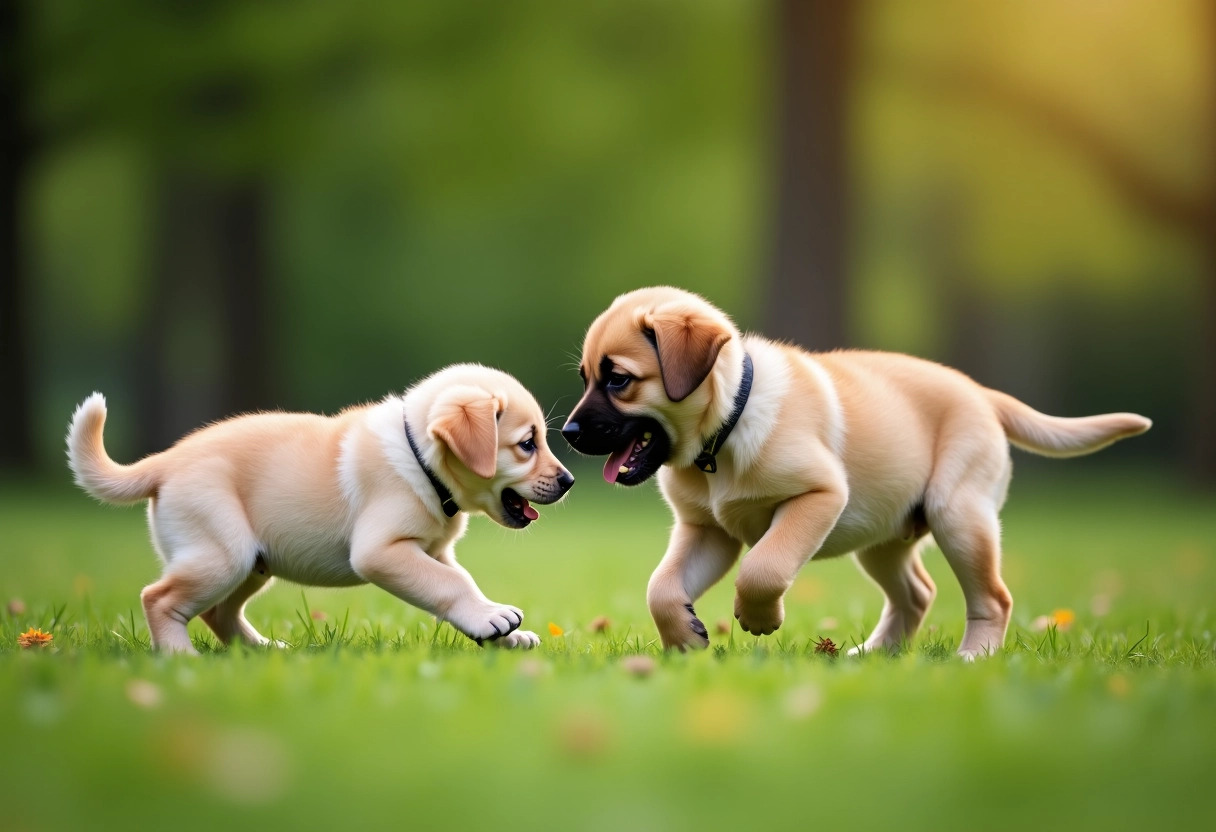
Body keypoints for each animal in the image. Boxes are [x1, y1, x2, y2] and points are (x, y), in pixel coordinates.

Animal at [69, 364, 571, 656]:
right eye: (527, 444)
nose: (567, 481)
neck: (420, 461)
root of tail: (165, 461)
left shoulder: (433, 551)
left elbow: (459, 581)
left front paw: (502, 632)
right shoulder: (382, 551)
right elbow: (451, 584)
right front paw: (493, 621)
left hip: (250, 563)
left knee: (218, 614)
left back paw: (262, 650)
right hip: (222, 553)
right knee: (159, 598)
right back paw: (180, 659)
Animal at [559, 289, 1147, 661]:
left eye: (618, 379)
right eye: (587, 377)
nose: (566, 432)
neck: (725, 430)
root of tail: (981, 393)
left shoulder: (818, 496)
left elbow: (764, 568)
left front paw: (760, 620)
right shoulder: (707, 531)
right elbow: (661, 587)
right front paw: (686, 638)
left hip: (959, 516)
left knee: (993, 597)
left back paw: (973, 657)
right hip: (884, 536)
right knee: (917, 592)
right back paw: (873, 654)